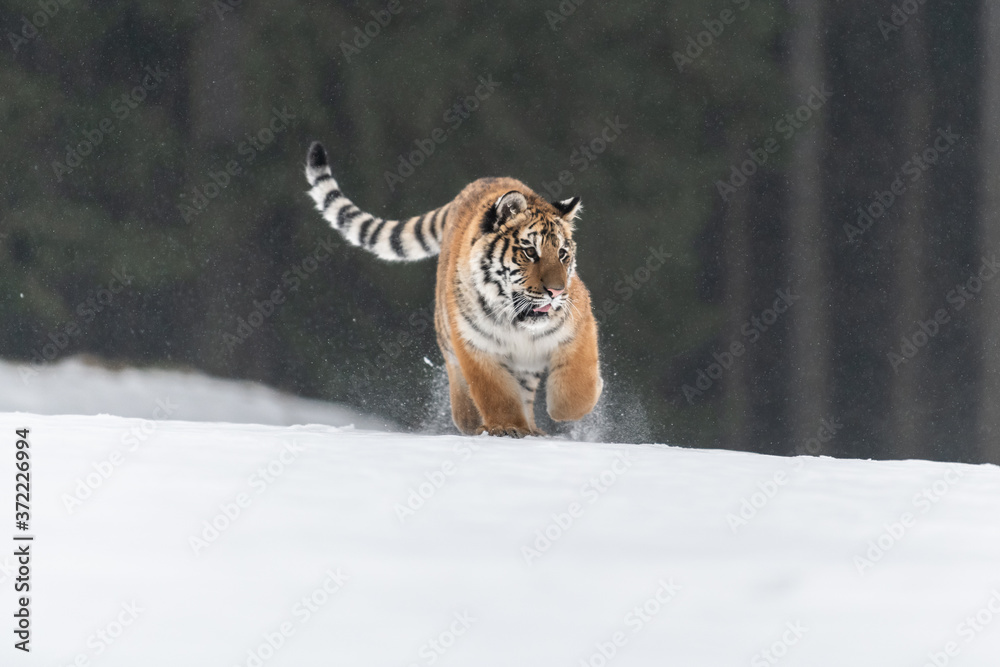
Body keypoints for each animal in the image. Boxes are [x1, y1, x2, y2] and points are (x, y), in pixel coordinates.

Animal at [304, 141, 603, 437]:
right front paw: (507, 427)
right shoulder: (475, 345)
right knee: (464, 403)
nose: (556, 291)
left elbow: (576, 389)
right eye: (530, 252)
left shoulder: (579, 324)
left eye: (562, 254)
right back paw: (478, 423)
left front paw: (579, 399)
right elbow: (497, 394)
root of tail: (481, 181)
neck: (516, 323)